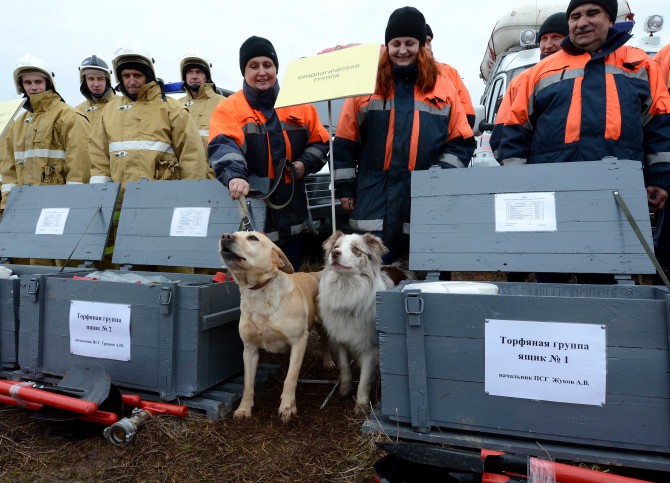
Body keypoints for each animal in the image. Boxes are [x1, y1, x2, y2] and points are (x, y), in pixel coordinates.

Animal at [220, 232, 334, 424]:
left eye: (253, 238)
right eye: (234, 234)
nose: (225, 236)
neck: (259, 293)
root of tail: (312, 273)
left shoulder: (299, 341)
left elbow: (291, 378)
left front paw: (287, 407)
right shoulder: (249, 349)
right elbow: (247, 384)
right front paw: (244, 409)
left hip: (322, 326)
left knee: (325, 344)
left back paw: (328, 362)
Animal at [318, 233, 396, 414]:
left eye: (356, 249)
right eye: (336, 247)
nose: (335, 254)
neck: (347, 289)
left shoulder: (371, 347)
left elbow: (365, 379)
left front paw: (361, 405)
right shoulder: (341, 338)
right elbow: (344, 367)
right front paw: (345, 389)